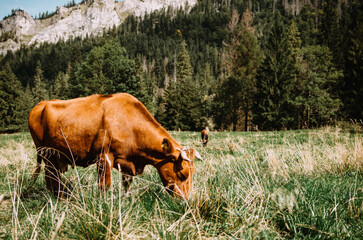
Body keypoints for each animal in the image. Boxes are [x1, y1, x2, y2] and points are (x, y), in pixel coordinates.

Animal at [29, 93, 202, 198]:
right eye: (182, 175)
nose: (186, 200)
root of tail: (41, 104)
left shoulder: (128, 163)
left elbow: (127, 184)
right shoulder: (104, 157)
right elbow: (104, 185)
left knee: (54, 176)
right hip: (46, 153)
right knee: (50, 176)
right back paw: (56, 196)